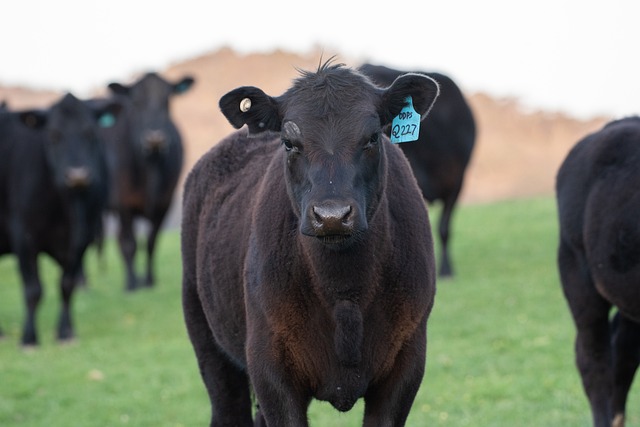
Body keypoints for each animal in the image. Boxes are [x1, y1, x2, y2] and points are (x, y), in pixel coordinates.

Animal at [0, 94, 120, 348]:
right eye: (54, 135)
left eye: (90, 132)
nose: (77, 175)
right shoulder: (23, 237)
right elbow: (33, 290)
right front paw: (29, 338)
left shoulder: (82, 238)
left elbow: (67, 284)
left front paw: (65, 332)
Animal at [100, 72, 192, 290]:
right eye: (136, 101)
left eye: (167, 99)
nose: (154, 136)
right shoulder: (123, 203)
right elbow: (129, 243)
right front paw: (132, 283)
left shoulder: (164, 203)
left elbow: (151, 242)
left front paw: (149, 280)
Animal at [180, 61, 440, 426]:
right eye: (289, 143)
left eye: (373, 137)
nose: (332, 215)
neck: (345, 293)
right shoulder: (270, 367)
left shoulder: (407, 361)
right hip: (207, 340)